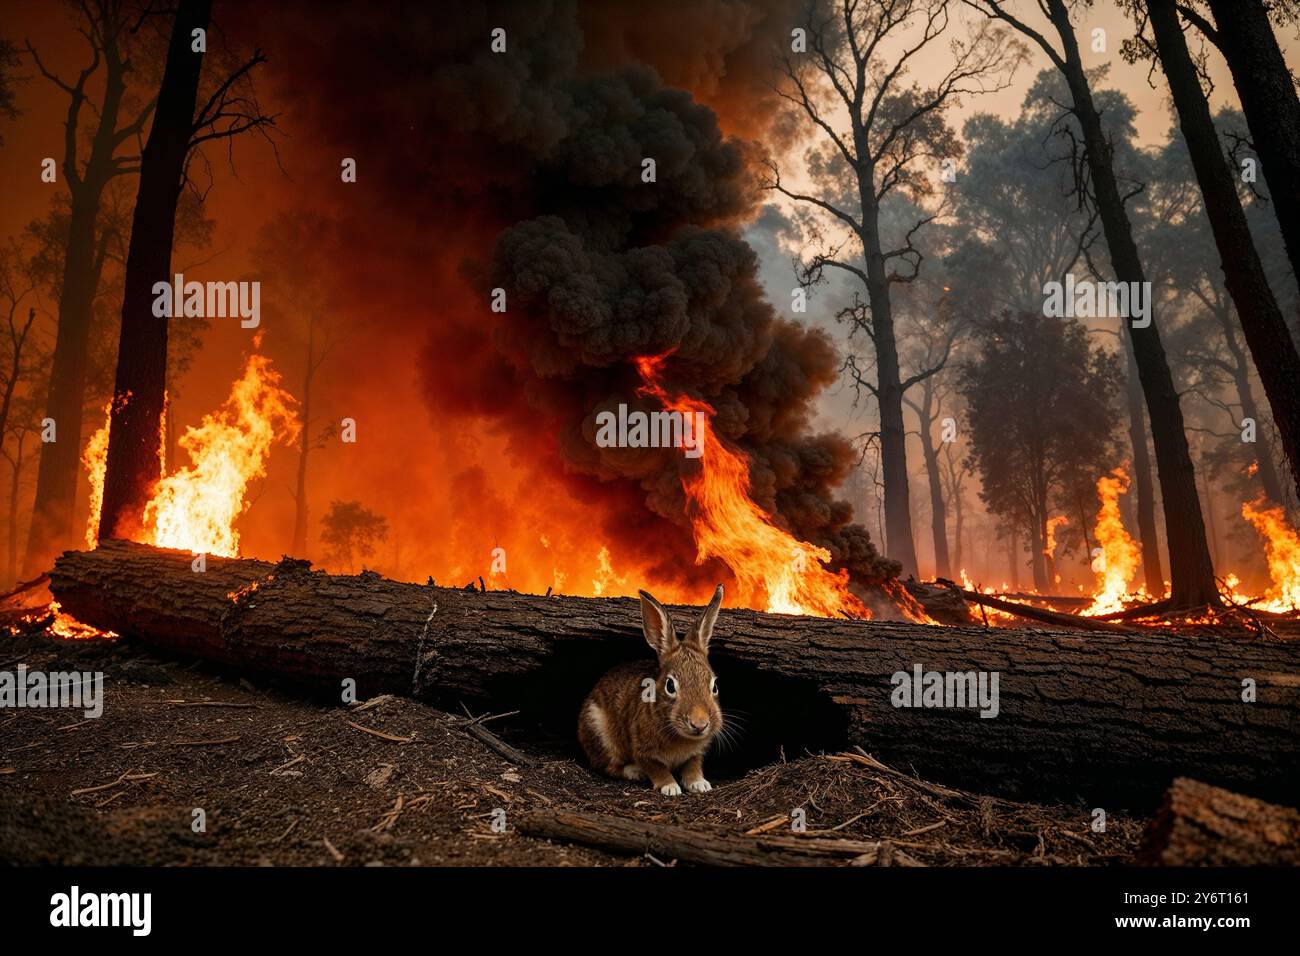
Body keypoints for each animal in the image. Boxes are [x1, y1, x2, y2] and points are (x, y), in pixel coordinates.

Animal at [577, 582, 722, 801]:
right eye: (670, 686)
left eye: (714, 685)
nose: (700, 724)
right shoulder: (643, 751)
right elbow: (657, 769)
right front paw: (670, 787)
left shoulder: (696, 753)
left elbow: (693, 766)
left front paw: (699, 784)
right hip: (599, 731)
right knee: (607, 765)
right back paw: (634, 772)